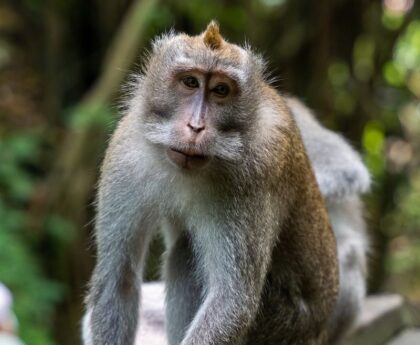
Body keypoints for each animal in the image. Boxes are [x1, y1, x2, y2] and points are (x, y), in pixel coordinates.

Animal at [83, 22, 342, 344]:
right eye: (190, 82)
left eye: (221, 90)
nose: (196, 127)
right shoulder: (126, 152)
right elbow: (119, 279)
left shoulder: (259, 169)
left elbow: (231, 300)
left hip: (286, 327)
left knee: (186, 255)